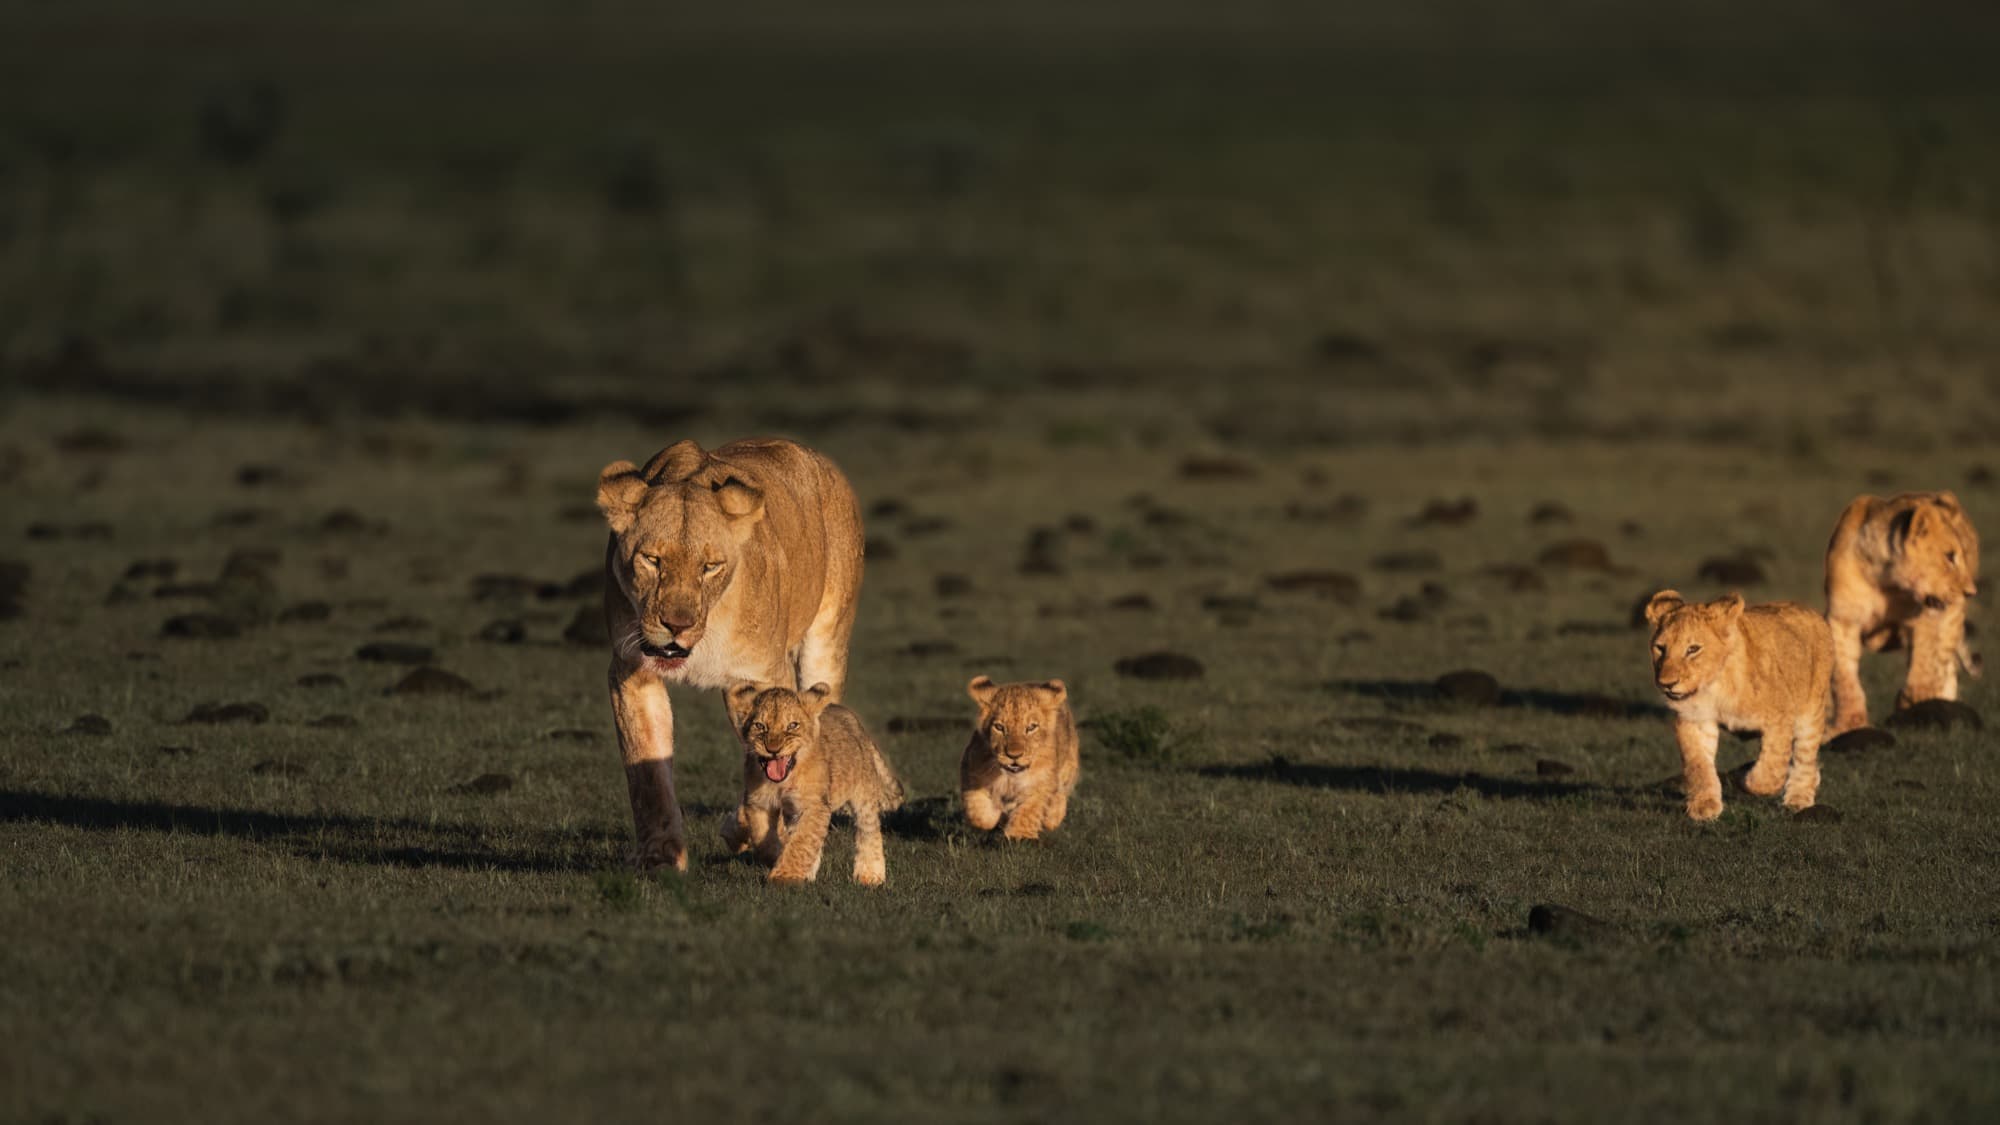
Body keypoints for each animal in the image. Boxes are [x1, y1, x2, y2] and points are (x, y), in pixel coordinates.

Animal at [595, 438, 863, 871]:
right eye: (652, 560)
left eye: (710, 566)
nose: (677, 624)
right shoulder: (632, 671)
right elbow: (647, 768)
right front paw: (660, 857)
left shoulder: (763, 675)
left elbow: (781, 760)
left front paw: (775, 843)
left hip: (827, 637)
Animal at [719, 682, 904, 886]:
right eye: (760, 726)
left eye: (792, 725)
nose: (773, 750)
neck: (784, 781)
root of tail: (852, 718)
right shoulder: (759, 803)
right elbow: (763, 839)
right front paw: (777, 857)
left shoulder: (815, 805)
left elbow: (802, 841)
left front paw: (784, 876)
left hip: (864, 795)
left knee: (868, 830)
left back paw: (870, 875)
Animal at [960, 676, 1080, 841]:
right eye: (999, 727)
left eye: (1031, 727)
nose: (1014, 755)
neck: (1010, 777)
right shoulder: (971, 770)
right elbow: (977, 809)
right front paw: (993, 815)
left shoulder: (1040, 784)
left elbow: (1029, 812)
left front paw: (1019, 834)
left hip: (1068, 766)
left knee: (1061, 793)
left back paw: (1052, 818)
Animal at [1643, 591, 1833, 821]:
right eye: (1660, 648)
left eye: (1693, 649)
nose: (1667, 683)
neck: (1714, 685)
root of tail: (1808, 610)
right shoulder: (1695, 720)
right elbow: (1698, 764)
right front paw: (1704, 806)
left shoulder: (1780, 716)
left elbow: (1772, 767)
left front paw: (1747, 780)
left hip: (1811, 711)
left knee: (1805, 757)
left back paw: (1798, 798)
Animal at [1824, 491, 1981, 734]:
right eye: (1949, 556)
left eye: (1963, 555)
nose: (1970, 592)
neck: (1886, 581)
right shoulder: (1843, 620)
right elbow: (1844, 678)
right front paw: (1850, 724)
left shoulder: (1925, 618)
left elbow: (1924, 667)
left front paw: (1915, 706)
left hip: (1950, 621)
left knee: (1946, 665)